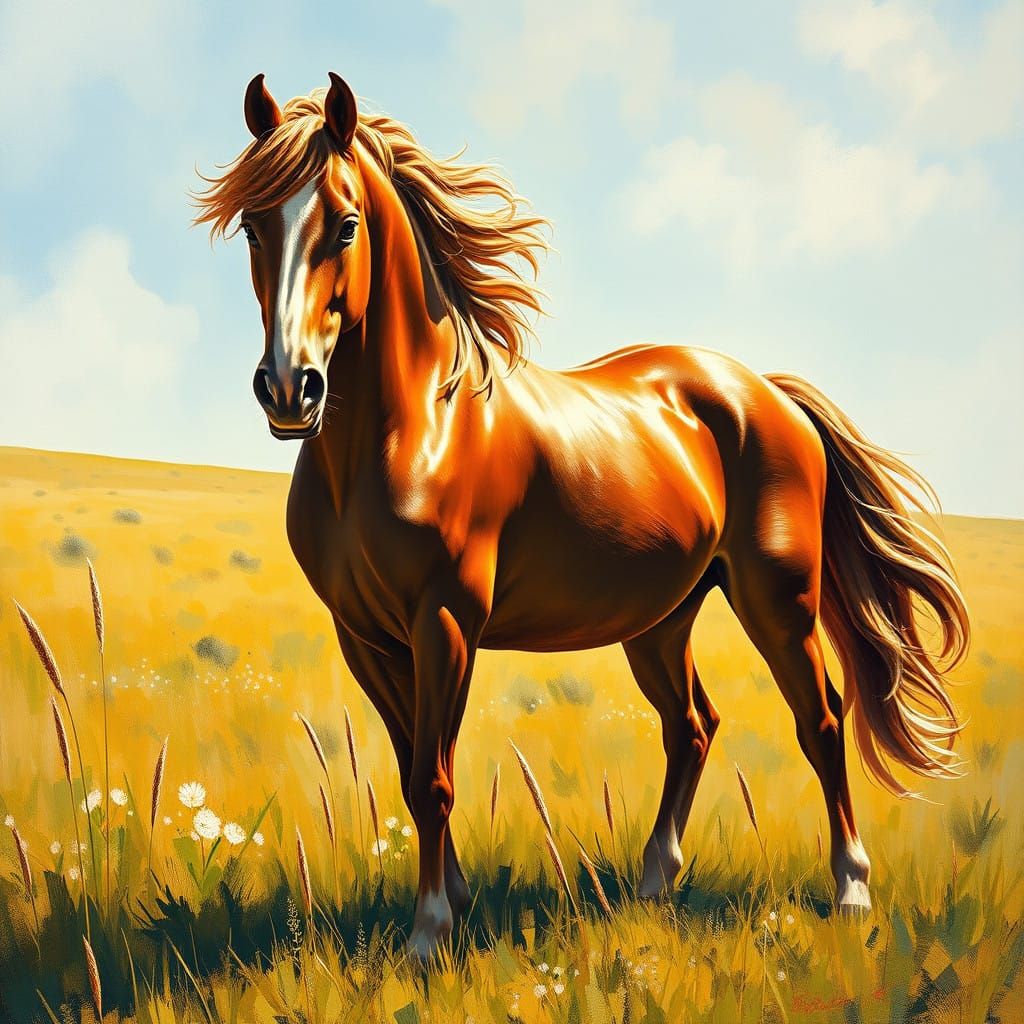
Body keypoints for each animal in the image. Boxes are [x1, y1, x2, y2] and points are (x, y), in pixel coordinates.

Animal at [195, 74, 970, 958]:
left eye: (347, 224)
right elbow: (412, 765)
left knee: (822, 720)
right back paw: (652, 883)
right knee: (692, 725)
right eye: (254, 226)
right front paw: (454, 900)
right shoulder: (364, 636)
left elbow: (432, 778)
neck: (405, 434)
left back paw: (849, 890)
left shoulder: (445, 622)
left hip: (779, 603)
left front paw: (430, 934)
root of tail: (765, 391)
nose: (290, 389)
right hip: (661, 620)